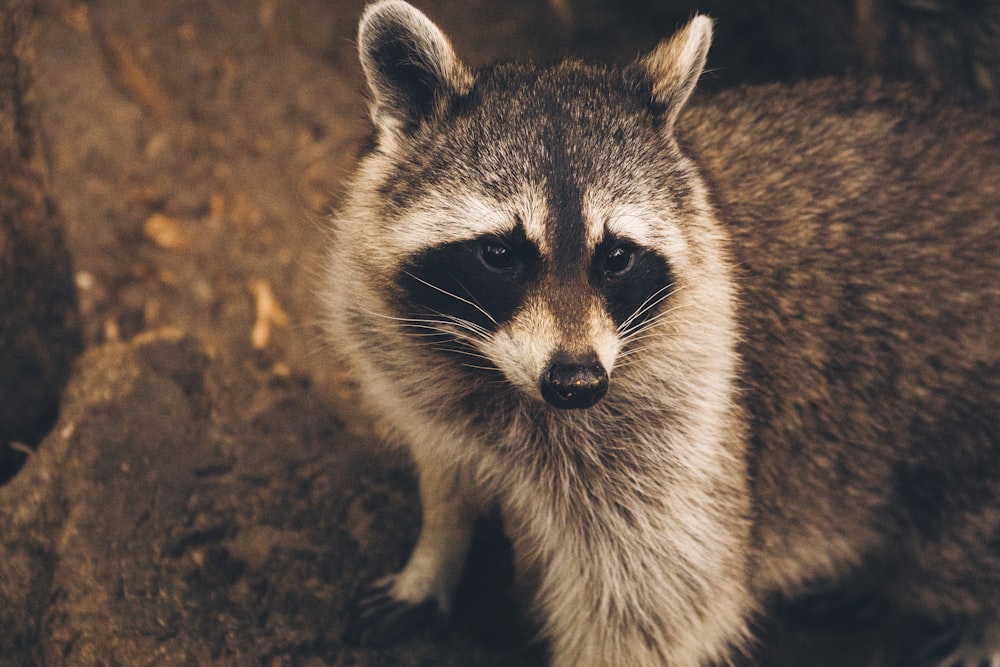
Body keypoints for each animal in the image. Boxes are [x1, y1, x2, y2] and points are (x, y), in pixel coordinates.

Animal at [324, 1, 1000, 667]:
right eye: (499, 254)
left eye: (617, 257)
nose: (576, 383)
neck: (496, 376)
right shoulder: (426, 380)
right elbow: (445, 469)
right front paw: (436, 553)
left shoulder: (685, 434)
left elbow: (656, 603)